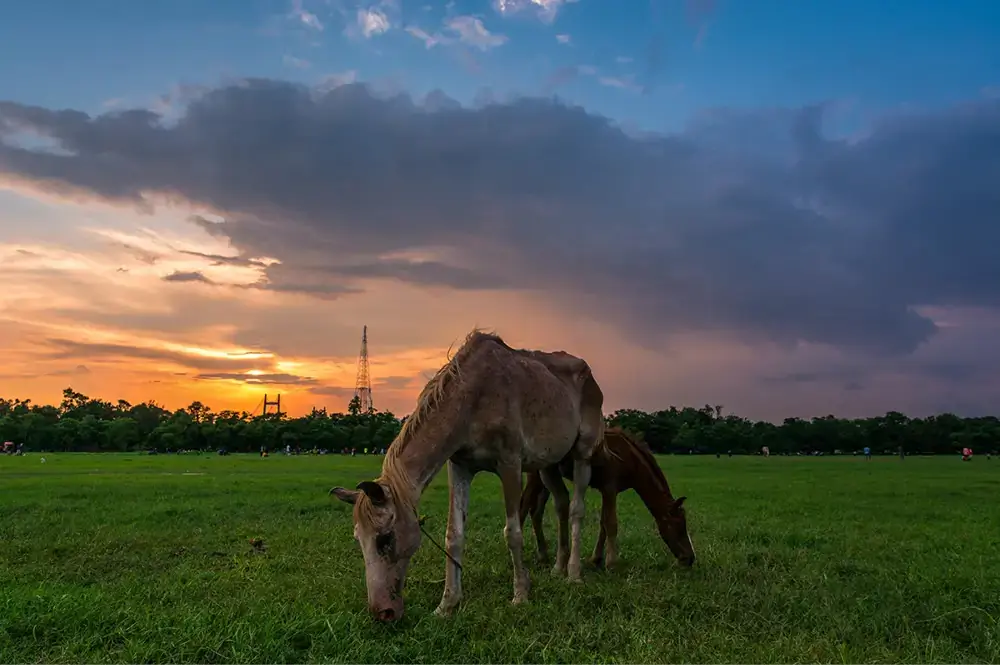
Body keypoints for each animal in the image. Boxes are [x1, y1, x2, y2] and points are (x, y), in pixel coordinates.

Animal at [332, 330, 604, 624]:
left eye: (385, 538)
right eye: (358, 539)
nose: (384, 612)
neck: (473, 399)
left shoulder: (510, 463)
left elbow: (513, 532)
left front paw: (520, 595)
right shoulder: (460, 466)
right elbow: (454, 534)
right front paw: (447, 604)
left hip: (582, 454)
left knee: (577, 509)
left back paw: (574, 573)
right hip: (547, 465)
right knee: (561, 504)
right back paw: (558, 567)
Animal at [520, 428, 692, 568]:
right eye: (679, 525)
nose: (690, 558)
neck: (628, 457)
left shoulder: (607, 491)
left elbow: (603, 522)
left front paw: (596, 559)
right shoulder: (610, 488)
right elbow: (611, 523)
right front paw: (611, 563)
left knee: (536, 512)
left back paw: (543, 556)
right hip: (535, 477)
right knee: (523, 506)